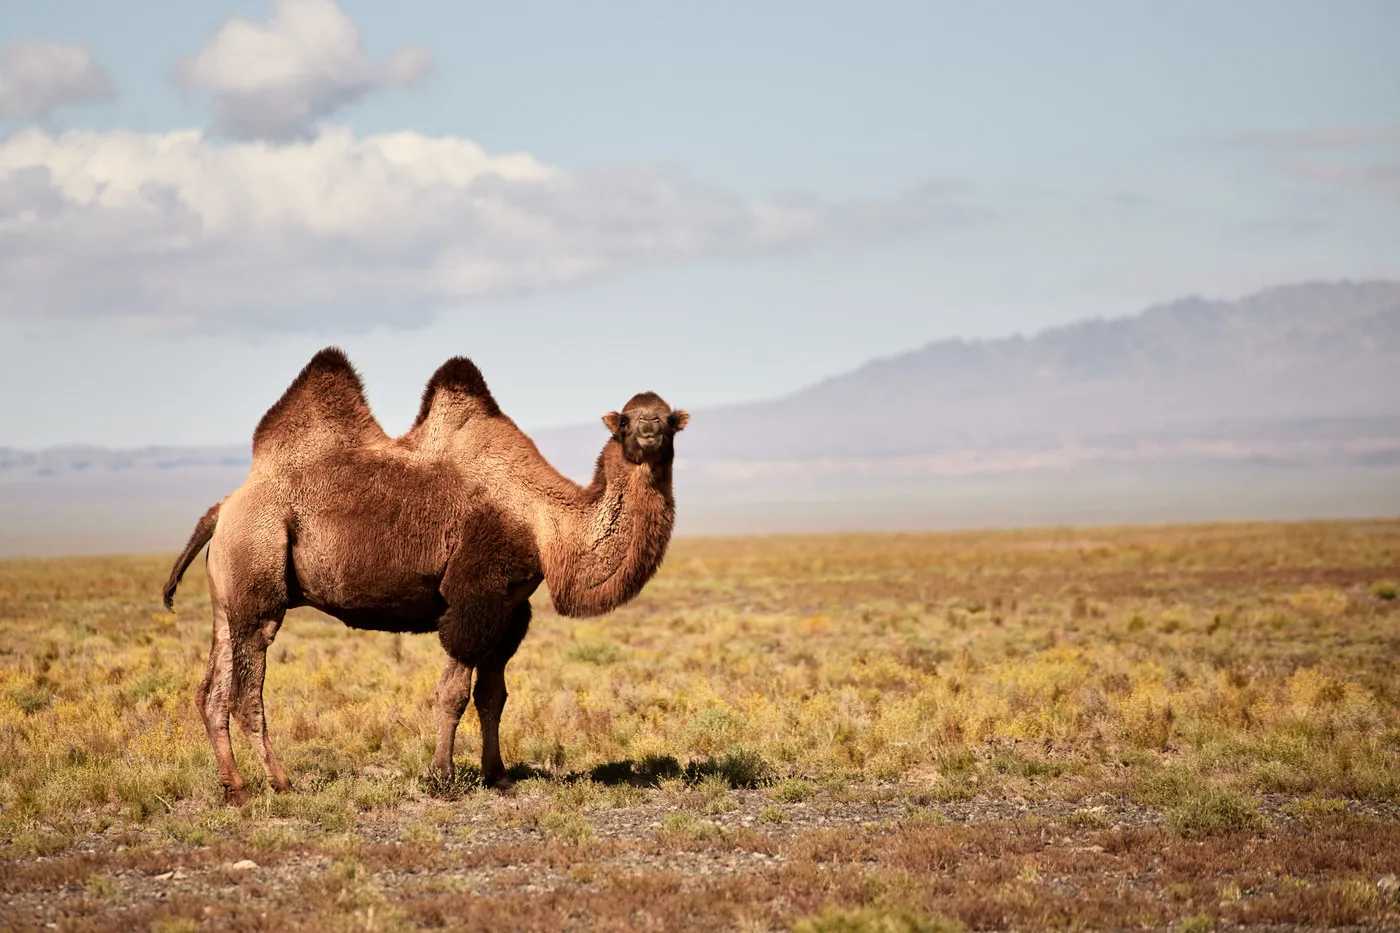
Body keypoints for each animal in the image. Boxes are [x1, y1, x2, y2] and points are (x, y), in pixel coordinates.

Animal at [162, 348, 687, 804]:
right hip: (259, 573)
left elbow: (493, 695)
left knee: (211, 692)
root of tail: (224, 509)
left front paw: (498, 776)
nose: (647, 432)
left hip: (227, 602)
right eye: (626, 420)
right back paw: (281, 783)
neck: (541, 522)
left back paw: (236, 789)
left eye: (666, 419)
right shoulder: (473, 597)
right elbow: (453, 693)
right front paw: (441, 777)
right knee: (246, 694)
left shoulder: (511, 608)